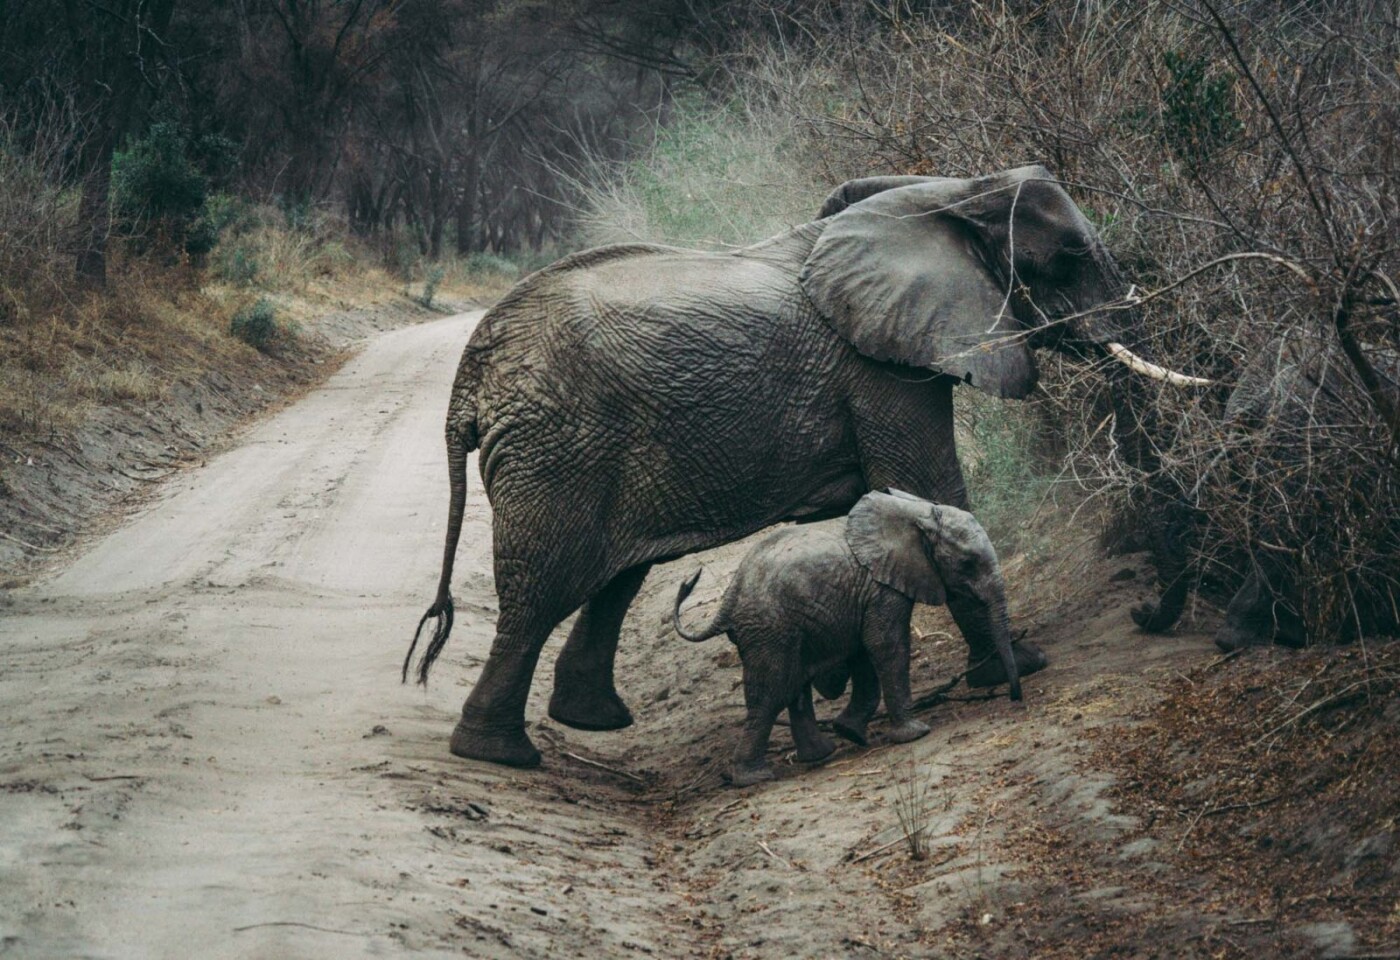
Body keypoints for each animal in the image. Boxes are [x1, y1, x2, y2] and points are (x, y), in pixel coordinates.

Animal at [672, 492, 1024, 783]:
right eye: (967, 563)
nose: (1014, 698)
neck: (917, 511)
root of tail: (729, 598)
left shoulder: (866, 594)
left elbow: (865, 653)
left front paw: (850, 732)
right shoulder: (881, 587)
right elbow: (886, 645)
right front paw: (916, 734)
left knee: (793, 684)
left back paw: (820, 753)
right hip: (768, 628)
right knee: (771, 690)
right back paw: (753, 777)